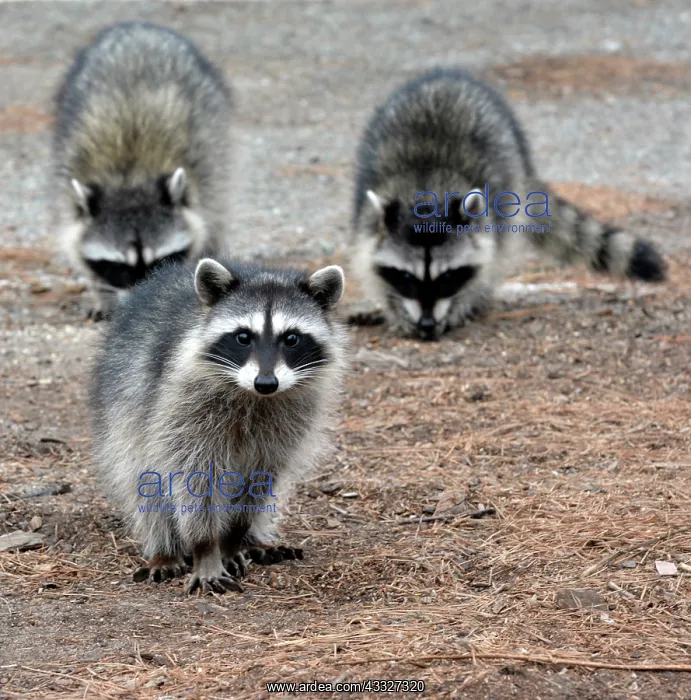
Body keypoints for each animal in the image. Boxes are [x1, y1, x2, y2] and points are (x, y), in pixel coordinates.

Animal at [53, 22, 232, 319]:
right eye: (119, 267)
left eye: (161, 261)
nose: (142, 300)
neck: (131, 177)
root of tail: (138, 26)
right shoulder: (68, 179)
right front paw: (100, 293)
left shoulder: (201, 177)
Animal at [89, 258, 348, 593]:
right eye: (243, 337)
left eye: (291, 338)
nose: (266, 383)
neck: (254, 396)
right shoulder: (181, 408)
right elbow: (192, 479)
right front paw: (206, 549)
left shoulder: (285, 422)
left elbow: (259, 480)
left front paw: (233, 540)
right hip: (126, 408)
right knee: (142, 480)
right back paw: (165, 549)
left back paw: (253, 541)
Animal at [352, 68, 667, 340]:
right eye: (406, 277)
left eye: (448, 276)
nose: (427, 323)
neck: (426, 194)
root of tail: (446, 75)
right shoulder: (366, 215)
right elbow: (370, 264)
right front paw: (393, 308)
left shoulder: (489, 220)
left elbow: (486, 262)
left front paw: (461, 304)